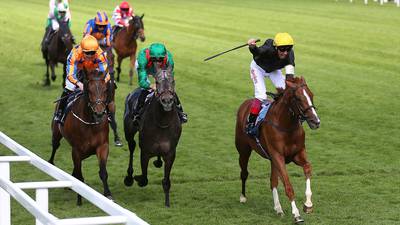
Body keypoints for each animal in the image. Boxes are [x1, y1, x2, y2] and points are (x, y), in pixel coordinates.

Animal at [50, 69, 113, 205]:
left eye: (106, 90)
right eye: (89, 90)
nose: (99, 113)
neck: (90, 123)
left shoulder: (103, 146)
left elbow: (103, 172)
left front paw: (108, 194)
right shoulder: (77, 150)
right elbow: (79, 175)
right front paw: (79, 198)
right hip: (56, 133)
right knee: (55, 146)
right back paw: (50, 163)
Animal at [122, 64, 182, 206]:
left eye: (172, 81)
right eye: (157, 82)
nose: (167, 101)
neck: (163, 122)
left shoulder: (171, 153)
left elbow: (166, 181)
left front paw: (167, 203)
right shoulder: (145, 151)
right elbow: (144, 179)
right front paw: (137, 178)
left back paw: (158, 161)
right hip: (129, 131)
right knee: (131, 147)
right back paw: (129, 177)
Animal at [236, 76, 320, 224]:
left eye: (311, 95)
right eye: (298, 98)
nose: (315, 121)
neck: (286, 126)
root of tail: (246, 102)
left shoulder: (297, 154)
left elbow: (307, 168)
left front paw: (308, 204)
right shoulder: (278, 155)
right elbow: (287, 185)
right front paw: (296, 214)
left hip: (271, 159)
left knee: (273, 181)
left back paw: (278, 208)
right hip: (244, 150)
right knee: (244, 173)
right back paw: (243, 196)